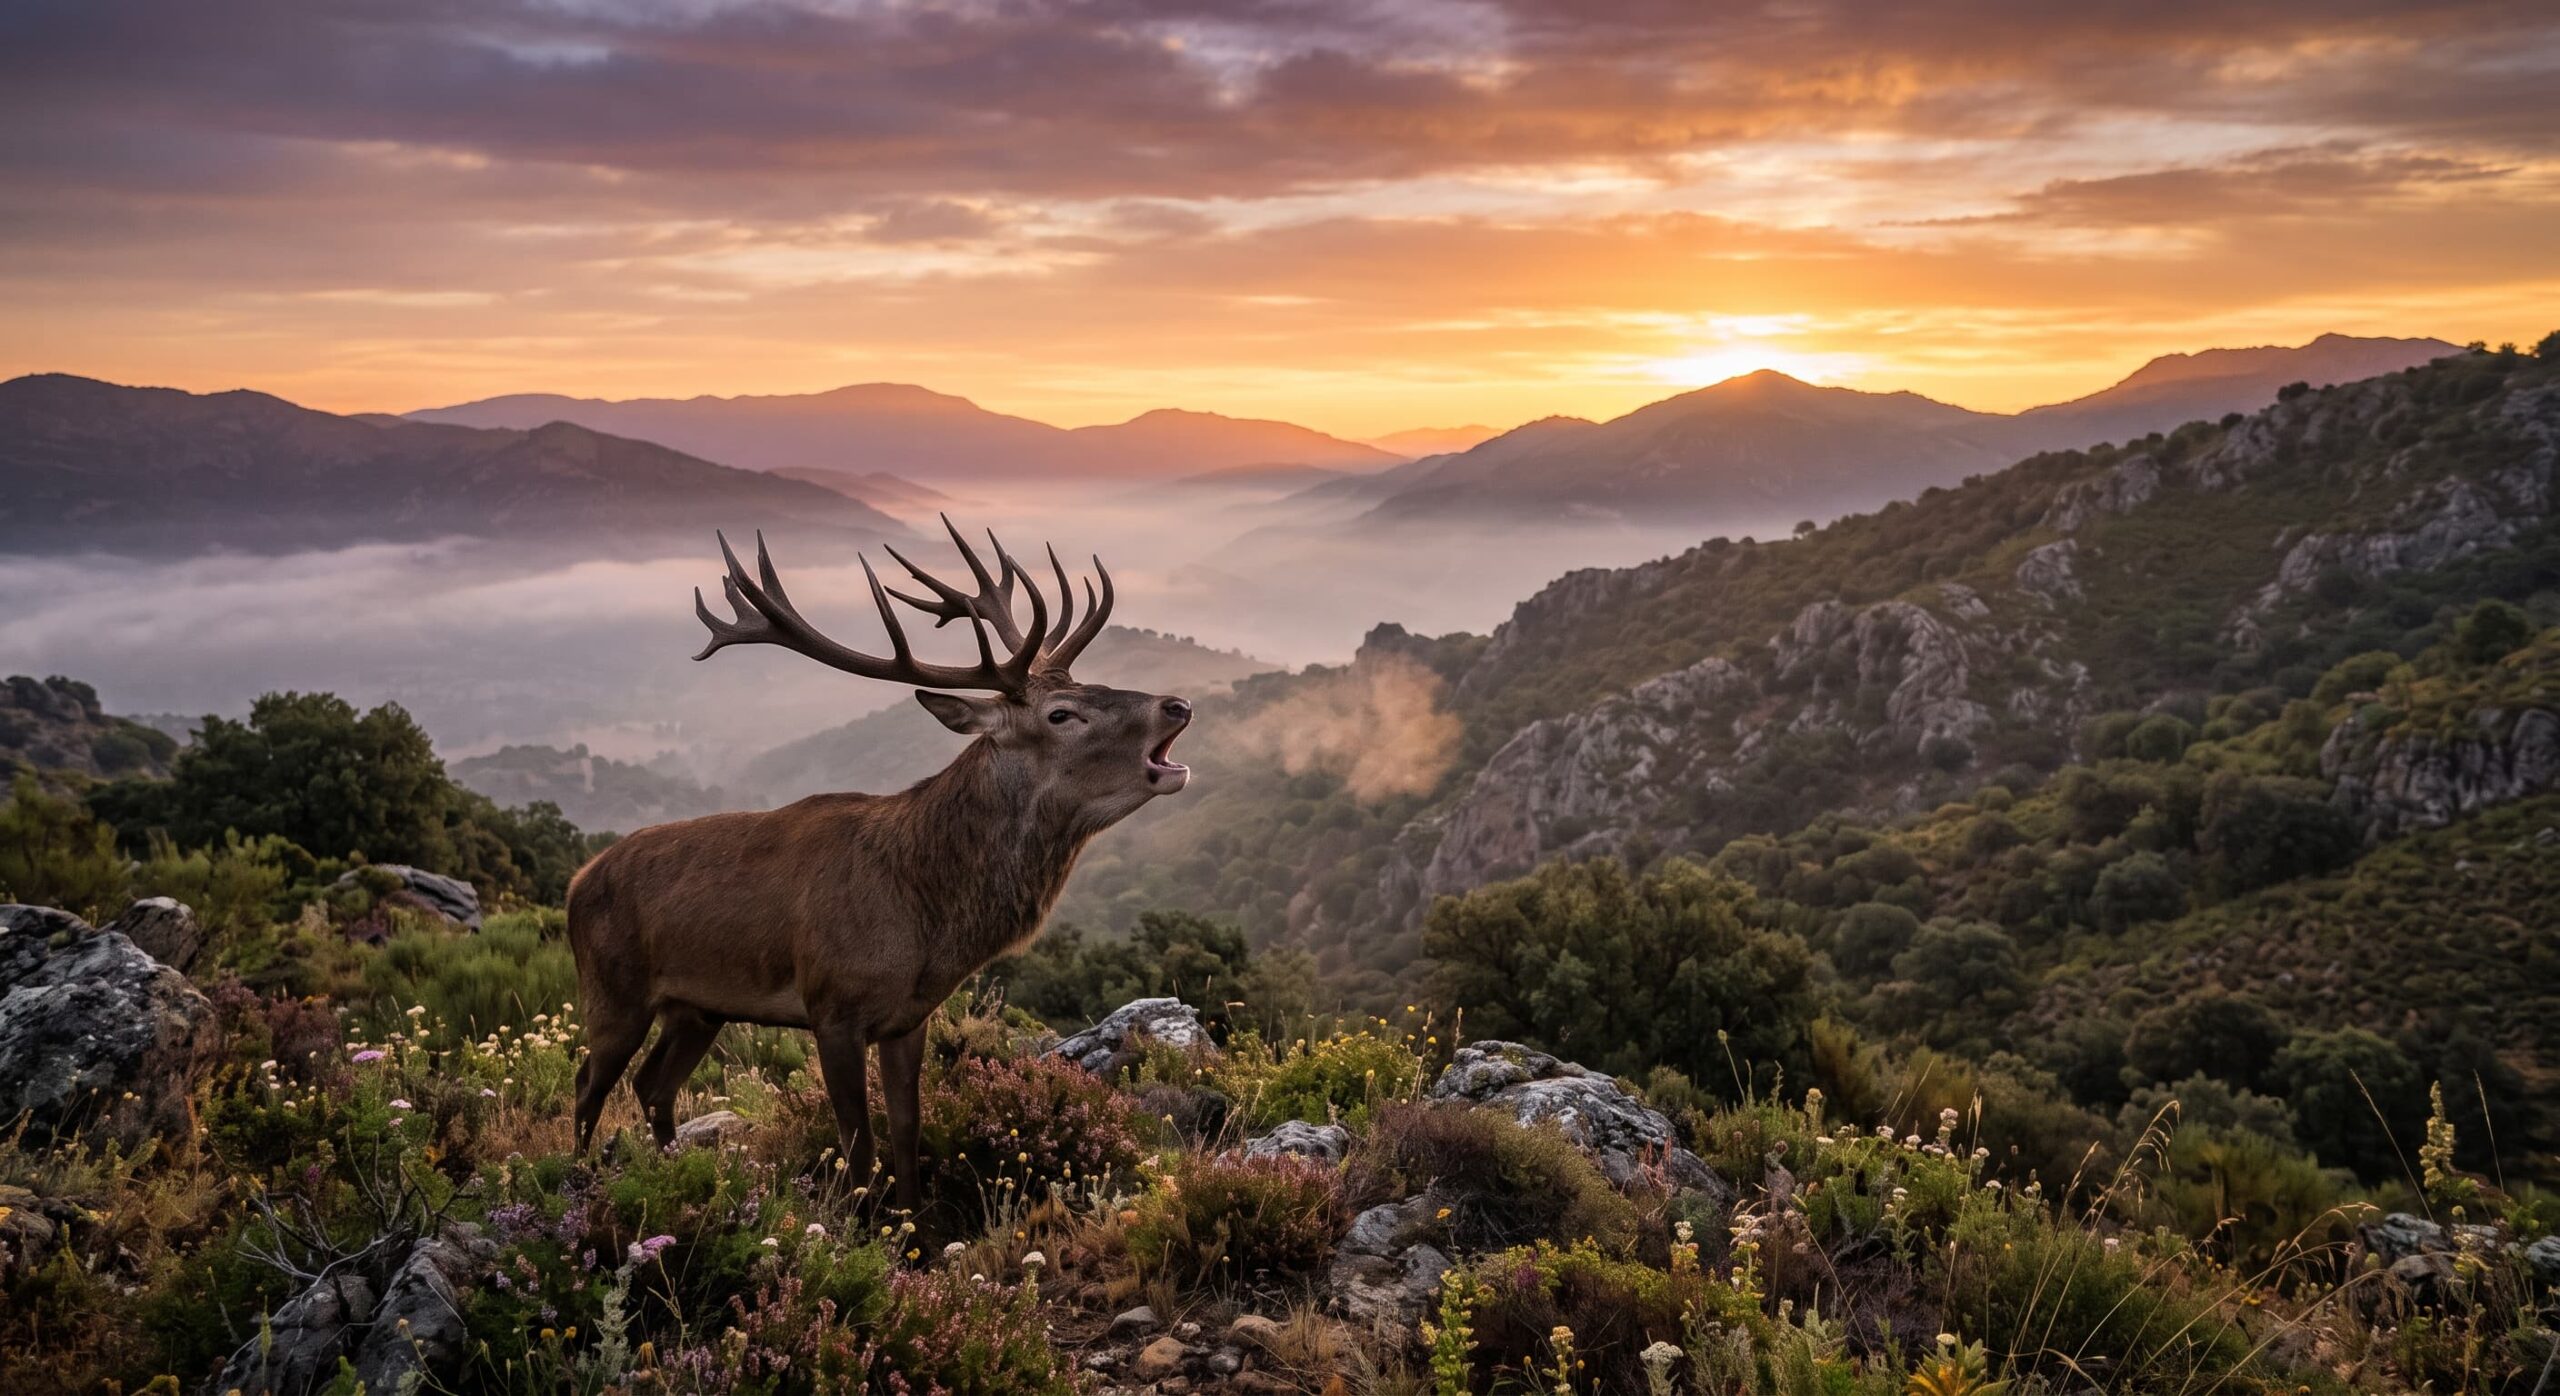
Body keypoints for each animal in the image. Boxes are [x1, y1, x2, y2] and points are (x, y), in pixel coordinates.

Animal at [564, 519, 1192, 1207]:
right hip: (612, 987)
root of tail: (576, 882)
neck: (925, 922)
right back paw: (576, 1181)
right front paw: (857, 1224)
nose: (1176, 705)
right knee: (588, 1085)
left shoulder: (907, 1018)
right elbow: (859, 1147)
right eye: (1061, 714)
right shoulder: (831, 1006)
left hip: (696, 1008)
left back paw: (678, 1174)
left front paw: (911, 1220)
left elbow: (907, 1133)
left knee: (652, 1086)